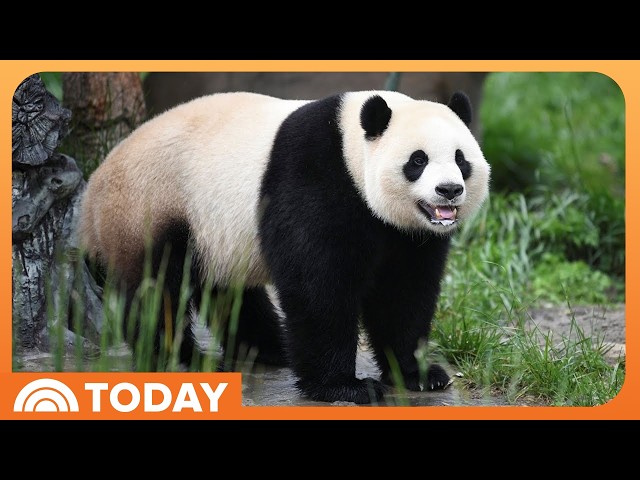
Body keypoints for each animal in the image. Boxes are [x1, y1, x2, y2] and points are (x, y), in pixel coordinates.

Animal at [77, 89, 490, 404]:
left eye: (460, 159)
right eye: (418, 160)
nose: (449, 191)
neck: (352, 148)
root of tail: (91, 195)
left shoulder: (407, 235)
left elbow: (402, 294)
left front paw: (418, 373)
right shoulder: (316, 177)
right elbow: (317, 285)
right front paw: (346, 386)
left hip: (216, 235)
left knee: (230, 292)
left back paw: (266, 348)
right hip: (154, 208)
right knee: (158, 289)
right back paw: (183, 359)